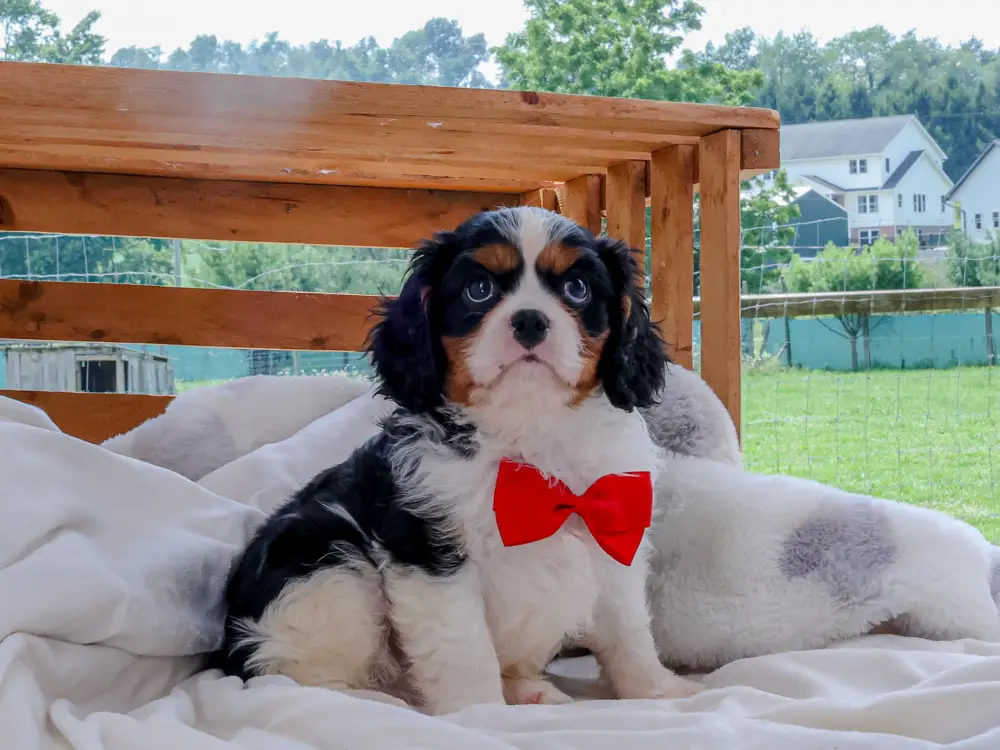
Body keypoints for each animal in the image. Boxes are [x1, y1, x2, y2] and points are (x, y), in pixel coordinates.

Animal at [219, 207, 704, 716]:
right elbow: (463, 648)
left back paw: (527, 689)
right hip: (327, 568)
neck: (530, 440)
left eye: (577, 288)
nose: (529, 320)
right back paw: (378, 703)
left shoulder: (611, 533)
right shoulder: (432, 558)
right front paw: (481, 714)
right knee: (295, 679)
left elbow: (628, 629)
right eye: (479, 289)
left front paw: (657, 692)